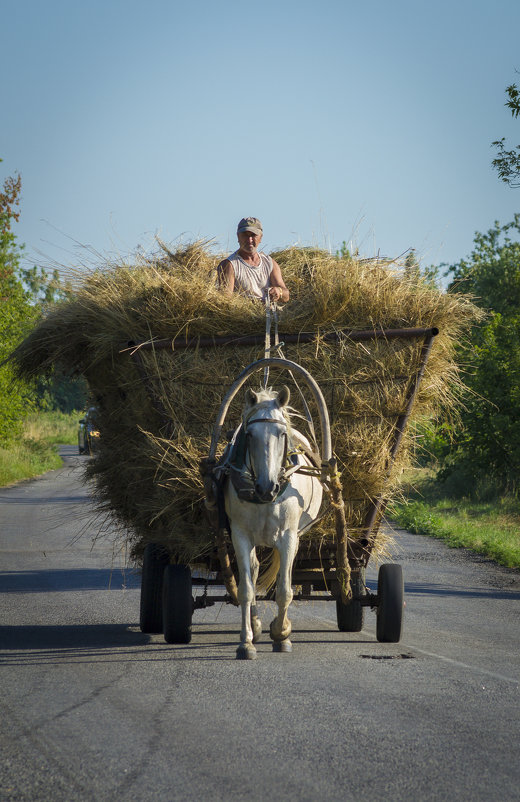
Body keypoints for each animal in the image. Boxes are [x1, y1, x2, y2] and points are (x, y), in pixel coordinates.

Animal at [222, 386, 320, 656]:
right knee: (254, 570)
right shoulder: (240, 535)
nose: (267, 487)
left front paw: (281, 634)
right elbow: (245, 589)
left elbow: (284, 591)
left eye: (281, 433)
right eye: (249, 434)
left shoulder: (288, 537)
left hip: (296, 536)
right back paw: (255, 625)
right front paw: (246, 641)